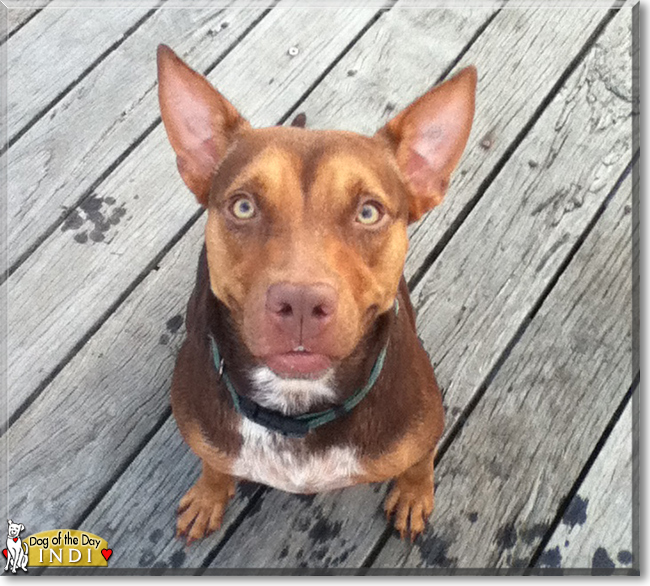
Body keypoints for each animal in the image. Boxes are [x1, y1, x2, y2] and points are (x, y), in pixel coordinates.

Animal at [154, 43, 474, 540]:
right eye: (243, 206)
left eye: (368, 212)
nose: (301, 303)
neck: (296, 409)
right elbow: (213, 462)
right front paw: (209, 494)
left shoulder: (422, 429)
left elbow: (419, 462)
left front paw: (414, 494)